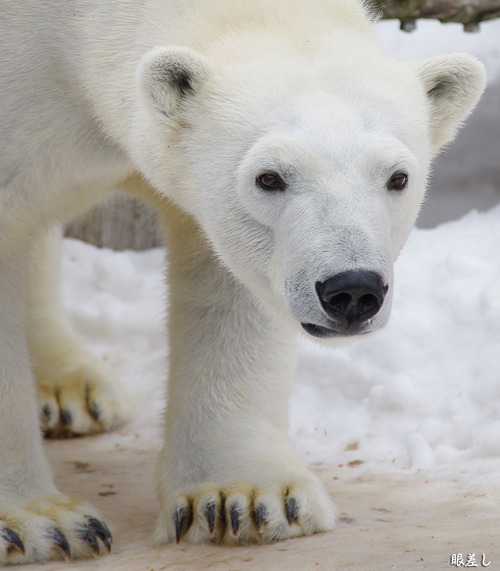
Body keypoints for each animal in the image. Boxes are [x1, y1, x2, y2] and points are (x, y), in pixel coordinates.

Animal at [0, 0, 484, 564]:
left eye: (398, 178)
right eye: (269, 177)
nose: (352, 291)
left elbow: (231, 284)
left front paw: (244, 497)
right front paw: (39, 522)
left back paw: (73, 388)